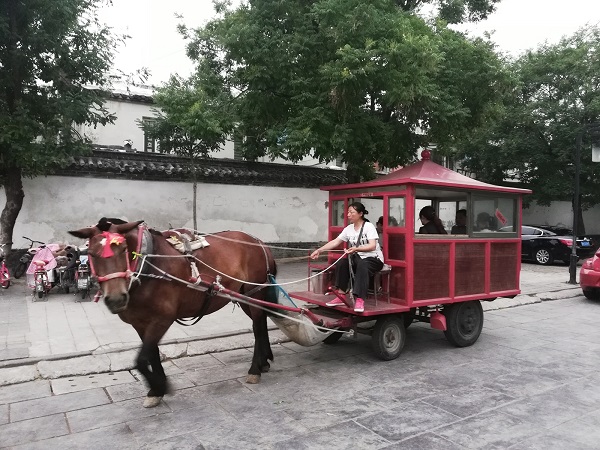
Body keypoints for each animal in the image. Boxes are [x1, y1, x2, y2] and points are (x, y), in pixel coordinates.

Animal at [68, 217, 278, 408]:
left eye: (124, 249)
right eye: (91, 253)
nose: (116, 299)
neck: (148, 263)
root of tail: (258, 242)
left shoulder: (162, 319)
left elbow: (141, 359)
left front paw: (161, 386)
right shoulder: (140, 323)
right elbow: (151, 353)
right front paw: (156, 390)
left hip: (255, 290)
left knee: (258, 327)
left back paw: (255, 369)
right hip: (245, 295)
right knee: (261, 322)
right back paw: (264, 361)